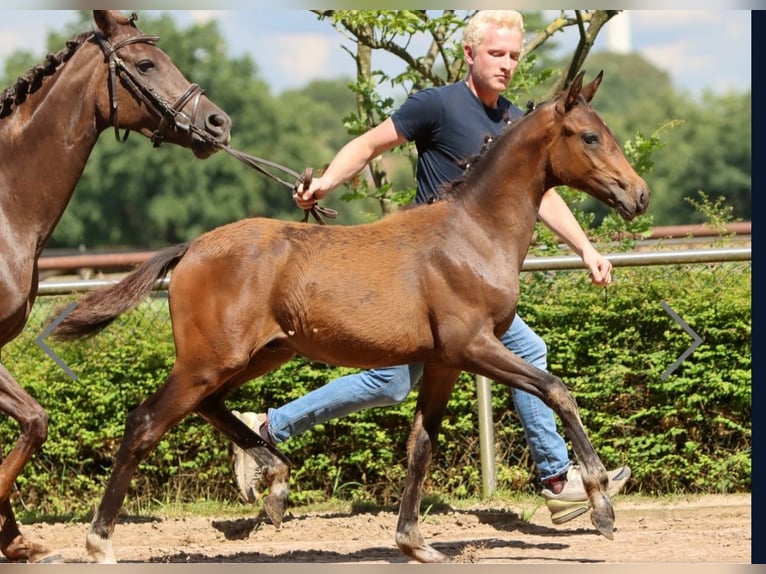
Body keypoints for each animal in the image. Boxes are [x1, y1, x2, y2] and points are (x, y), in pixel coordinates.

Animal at [0, 10, 231, 568]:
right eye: (146, 64)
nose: (219, 123)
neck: (4, 209)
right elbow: (34, 421)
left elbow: (32, 421)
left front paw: (15, 540)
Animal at [54, 71, 652, 564]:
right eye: (590, 136)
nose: (640, 195)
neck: (472, 235)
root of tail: (193, 248)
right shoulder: (474, 347)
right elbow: (556, 389)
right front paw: (601, 503)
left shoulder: (444, 363)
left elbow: (421, 447)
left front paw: (414, 542)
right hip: (209, 360)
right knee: (145, 422)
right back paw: (100, 542)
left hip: (257, 355)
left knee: (213, 407)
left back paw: (274, 483)